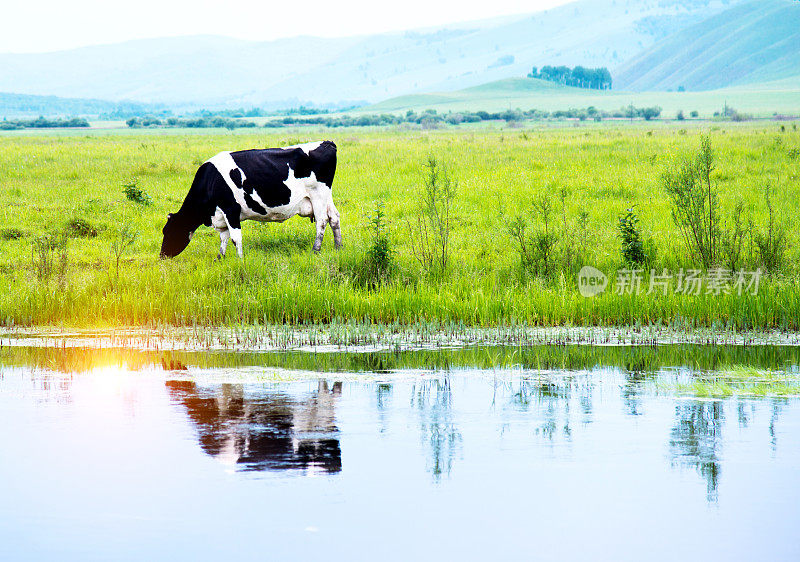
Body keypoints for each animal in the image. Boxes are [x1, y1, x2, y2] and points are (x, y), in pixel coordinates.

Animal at [159, 141, 340, 260]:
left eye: (168, 232)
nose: (162, 256)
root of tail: (327, 143)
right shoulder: (221, 215)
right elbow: (223, 237)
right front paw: (220, 258)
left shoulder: (231, 209)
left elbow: (235, 237)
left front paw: (240, 260)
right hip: (326, 196)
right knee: (334, 218)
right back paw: (339, 247)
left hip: (318, 194)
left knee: (322, 221)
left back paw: (315, 250)